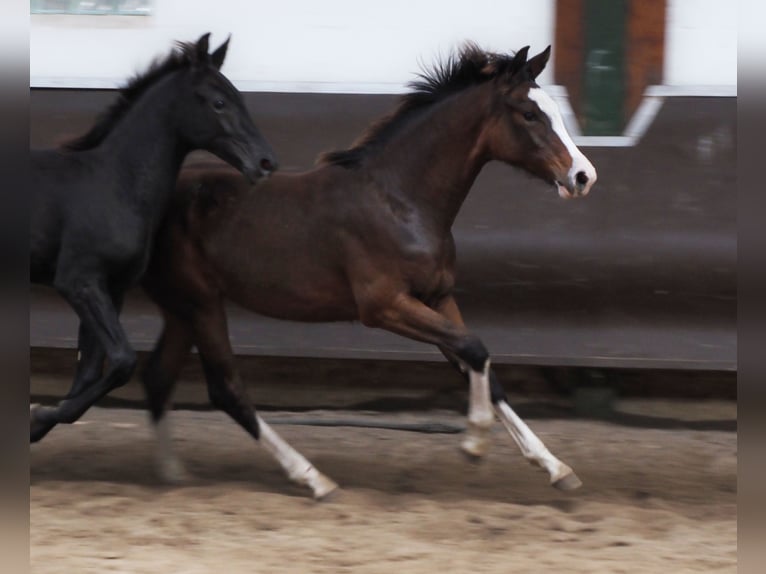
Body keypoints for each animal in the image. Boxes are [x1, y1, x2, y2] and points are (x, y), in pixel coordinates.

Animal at [29, 33, 280, 444]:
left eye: (239, 96)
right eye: (219, 102)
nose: (265, 162)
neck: (114, 183)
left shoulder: (112, 288)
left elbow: (90, 370)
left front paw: (39, 422)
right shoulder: (78, 280)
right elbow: (122, 360)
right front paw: (38, 417)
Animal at [141, 44, 596, 500]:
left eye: (555, 109)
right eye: (529, 114)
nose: (583, 176)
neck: (399, 200)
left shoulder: (437, 298)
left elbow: (479, 363)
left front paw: (556, 468)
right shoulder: (384, 307)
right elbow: (476, 349)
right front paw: (474, 443)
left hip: (182, 308)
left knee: (158, 376)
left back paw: (171, 473)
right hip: (200, 302)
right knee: (226, 389)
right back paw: (312, 478)